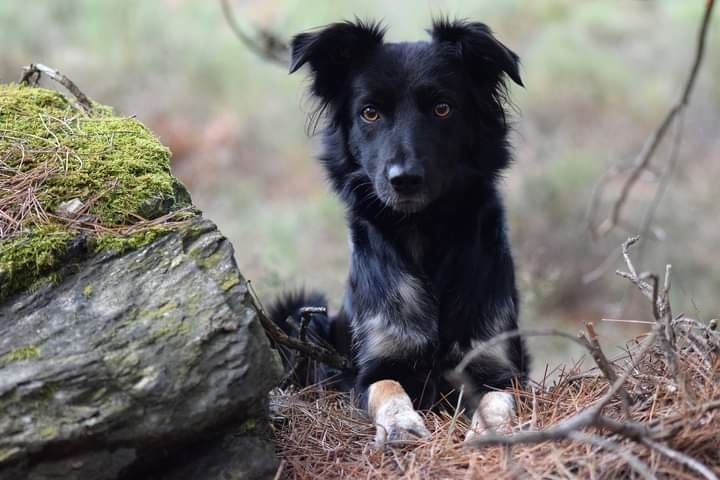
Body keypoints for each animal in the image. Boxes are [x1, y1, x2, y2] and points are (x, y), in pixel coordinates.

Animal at [270, 18, 528, 446]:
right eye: (370, 113)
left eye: (443, 108)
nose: (403, 179)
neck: (422, 231)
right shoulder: (375, 362)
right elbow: (386, 387)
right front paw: (400, 424)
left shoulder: (497, 364)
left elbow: (497, 398)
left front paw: (489, 431)